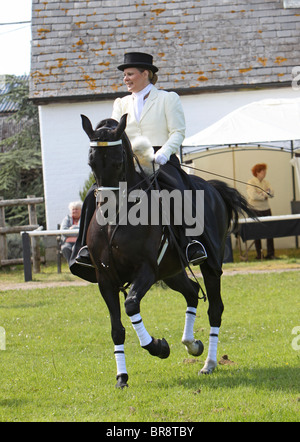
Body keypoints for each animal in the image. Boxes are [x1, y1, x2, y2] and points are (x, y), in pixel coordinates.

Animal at [78, 113, 254, 386]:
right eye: (91, 162)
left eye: (118, 162)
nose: (106, 210)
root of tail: (212, 187)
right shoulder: (105, 279)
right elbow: (116, 329)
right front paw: (122, 377)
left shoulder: (146, 271)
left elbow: (131, 305)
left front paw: (159, 347)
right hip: (171, 272)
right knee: (192, 292)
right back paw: (192, 344)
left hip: (209, 265)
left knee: (215, 309)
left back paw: (209, 363)